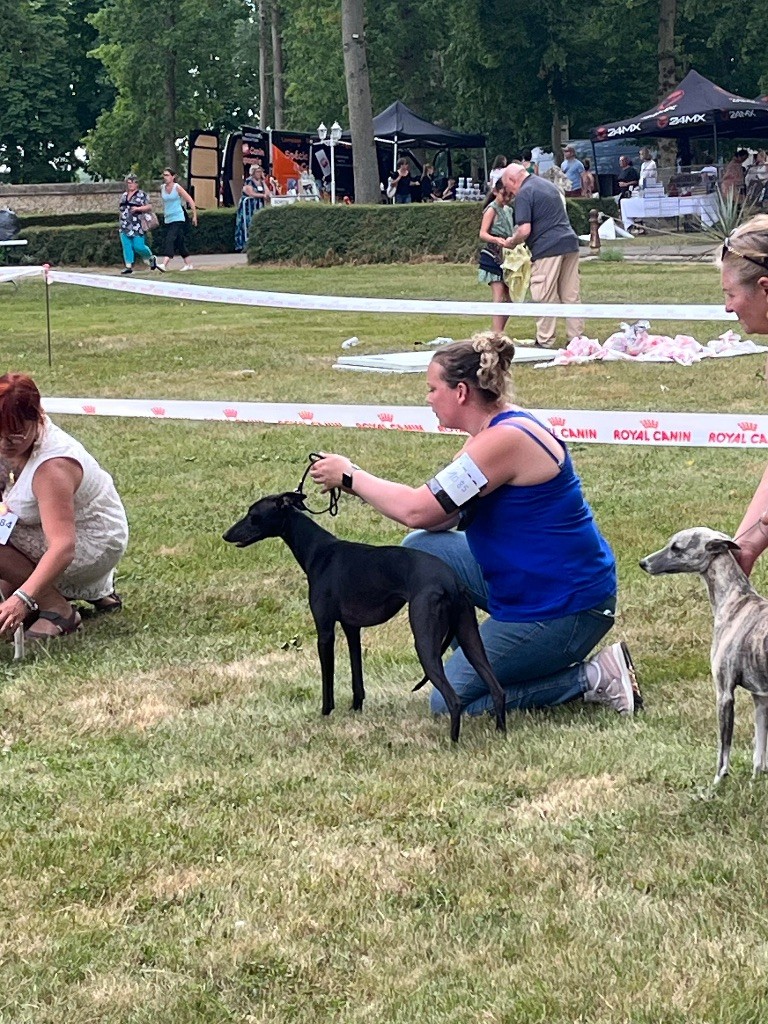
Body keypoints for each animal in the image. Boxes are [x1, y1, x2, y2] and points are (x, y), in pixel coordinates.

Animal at [224, 491, 512, 741]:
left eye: (252, 515)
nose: (226, 535)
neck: (318, 550)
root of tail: (451, 580)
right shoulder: (352, 628)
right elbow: (356, 675)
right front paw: (356, 708)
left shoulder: (325, 631)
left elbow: (327, 679)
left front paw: (325, 713)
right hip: (470, 636)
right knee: (497, 689)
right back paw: (500, 732)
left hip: (425, 639)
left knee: (454, 699)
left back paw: (452, 742)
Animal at [638, 528, 768, 782]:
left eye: (676, 548)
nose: (643, 563)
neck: (735, 600)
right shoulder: (760, 698)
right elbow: (759, 753)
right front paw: (755, 781)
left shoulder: (724, 694)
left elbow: (723, 751)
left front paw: (718, 782)